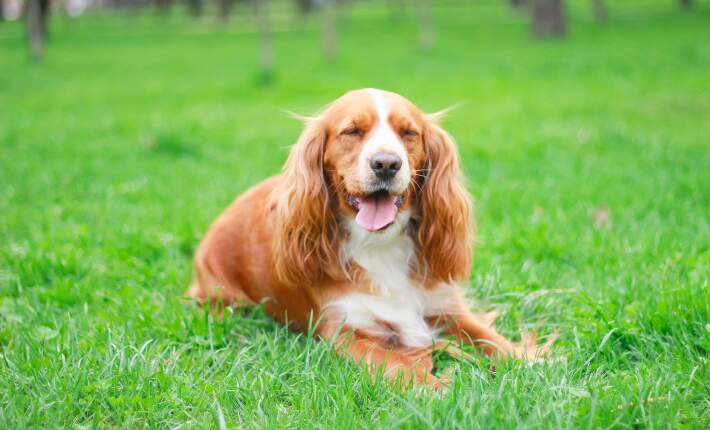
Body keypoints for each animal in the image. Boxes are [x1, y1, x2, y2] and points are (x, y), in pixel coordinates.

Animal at [186, 89, 552, 388]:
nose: (386, 163)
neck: (381, 245)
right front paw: (438, 389)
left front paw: (534, 361)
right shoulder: (345, 331)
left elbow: (491, 339)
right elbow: (398, 365)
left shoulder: (446, 306)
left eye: (409, 133)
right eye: (352, 131)